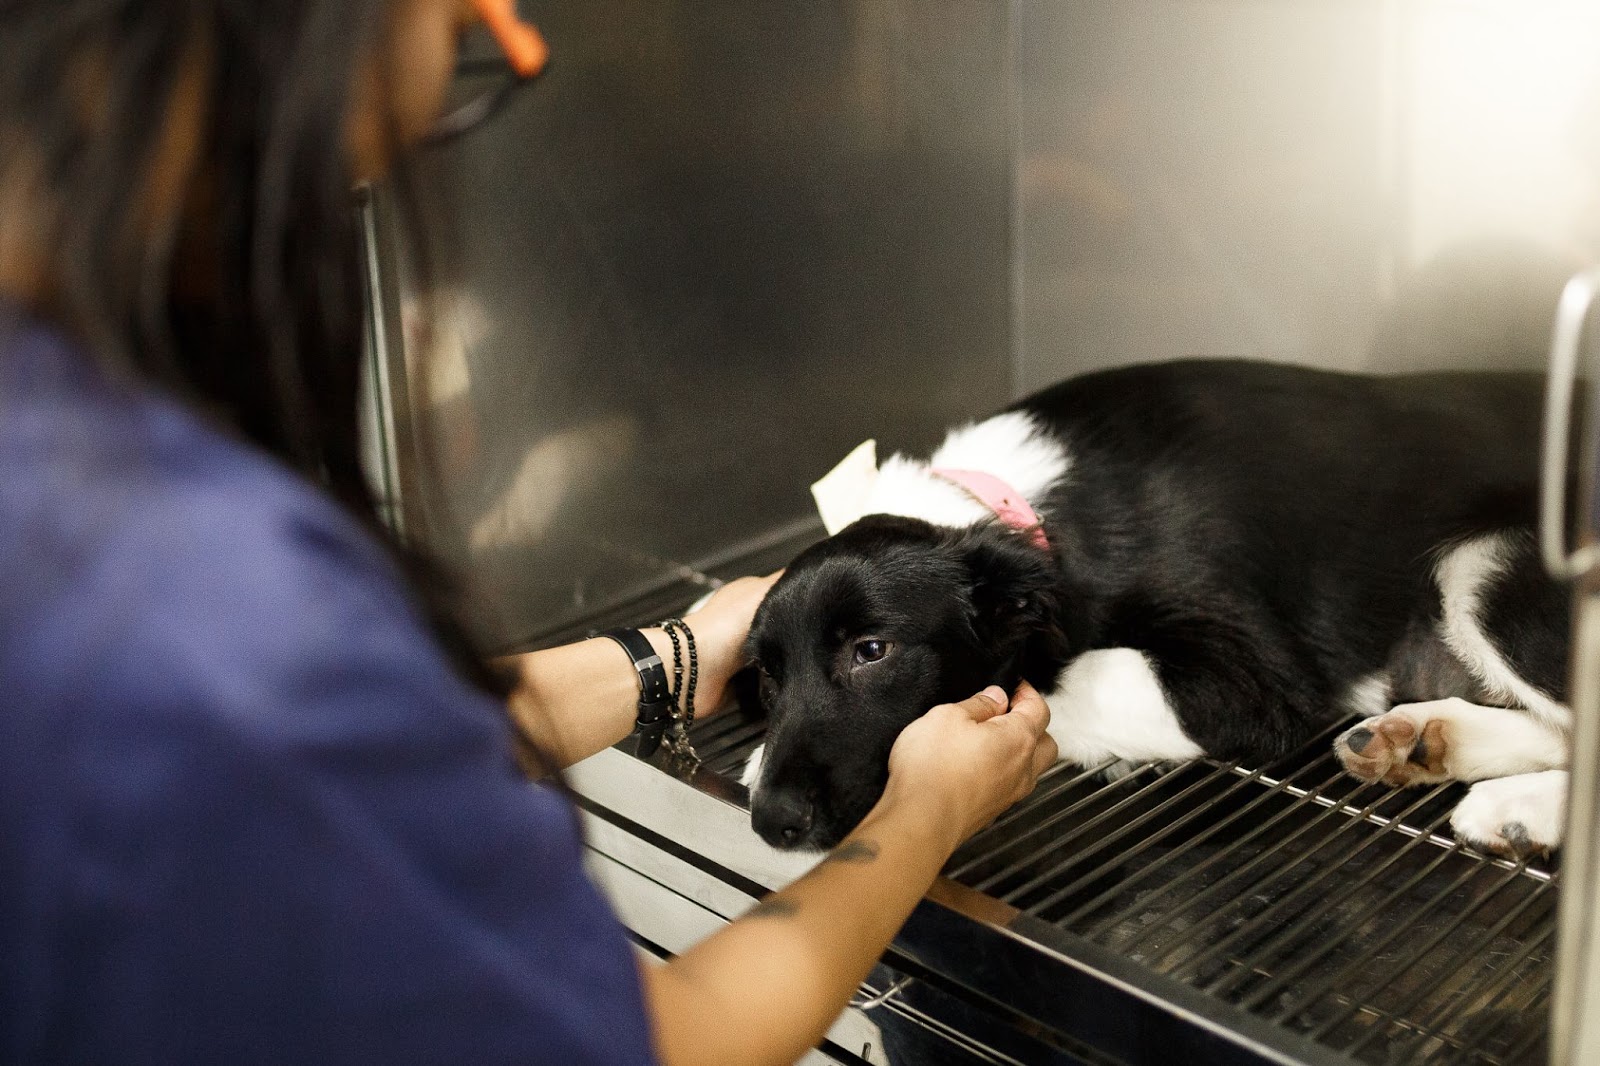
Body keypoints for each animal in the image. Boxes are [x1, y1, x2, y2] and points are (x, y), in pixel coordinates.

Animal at [742, 358, 1568, 857]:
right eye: (768, 677)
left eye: (871, 651)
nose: (772, 822)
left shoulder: (1250, 683)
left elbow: (1063, 682)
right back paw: (1422, 740)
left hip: (1486, 565)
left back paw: (1516, 802)